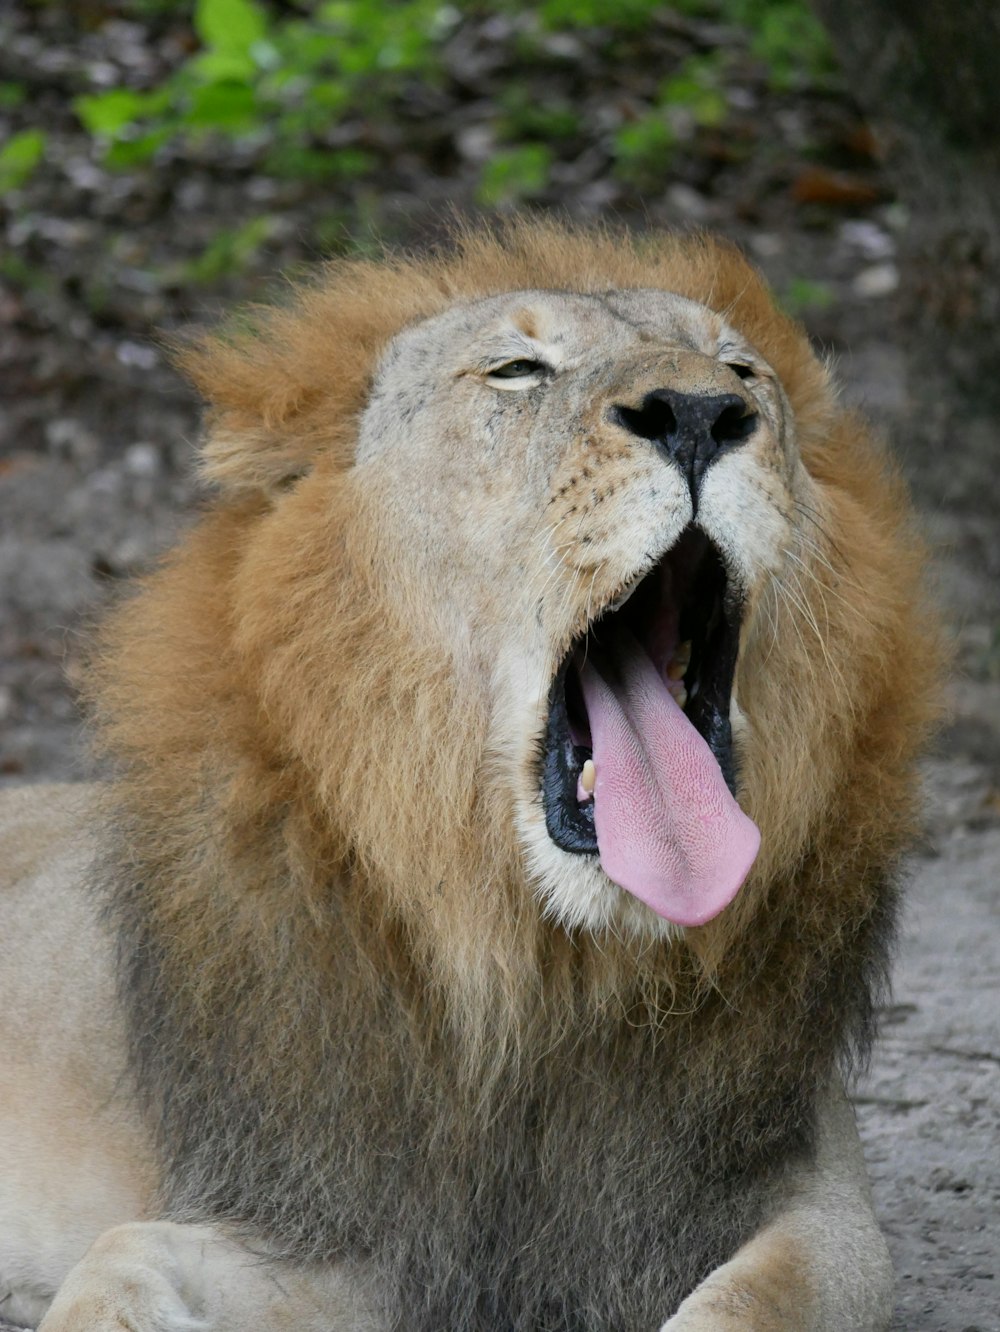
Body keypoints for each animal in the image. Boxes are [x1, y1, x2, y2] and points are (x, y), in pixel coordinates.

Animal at [0, 221, 942, 1332]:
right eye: (518, 371)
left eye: (742, 371)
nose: (703, 413)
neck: (540, 973)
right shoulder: (339, 1228)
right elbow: (118, 1262)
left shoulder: (808, 1205)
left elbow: (749, 1302)